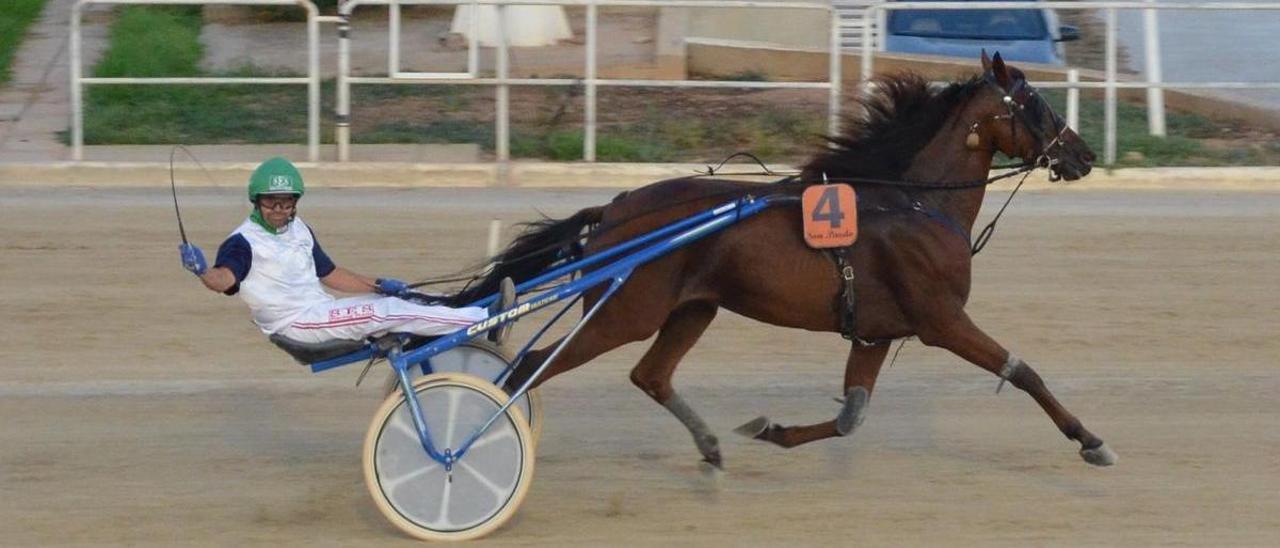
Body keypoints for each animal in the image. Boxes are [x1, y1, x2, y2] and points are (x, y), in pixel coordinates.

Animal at [458, 52, 1111, 466]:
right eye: (1035, 102)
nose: (1083, 154)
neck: (916, 204)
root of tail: (618, 207)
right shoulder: (941, 319)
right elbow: (1022, 372)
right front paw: (1089, 439)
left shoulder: (875, 331)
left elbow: (851, 415)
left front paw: (767, 429)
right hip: (625, 313)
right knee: (529, 366)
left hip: (693, 309)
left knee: (651, 375)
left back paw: (710, 446)